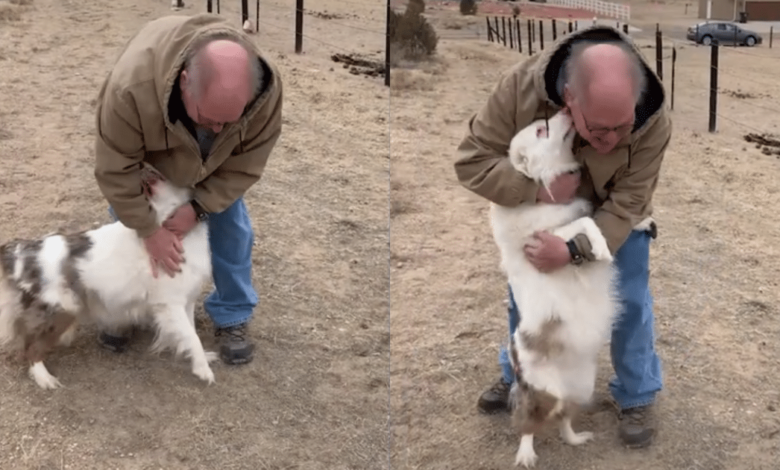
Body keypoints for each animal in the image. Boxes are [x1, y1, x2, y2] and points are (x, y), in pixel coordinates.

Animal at [0, 163, 216, 392]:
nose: (142, 165)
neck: (166, 220)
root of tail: (19, 251)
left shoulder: (186, 300)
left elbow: (190, 331)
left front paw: (200, 359)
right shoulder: (170, 303)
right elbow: (192, 337)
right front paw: (204, 371)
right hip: (60, 311)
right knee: (31, 347)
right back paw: (45, 378)